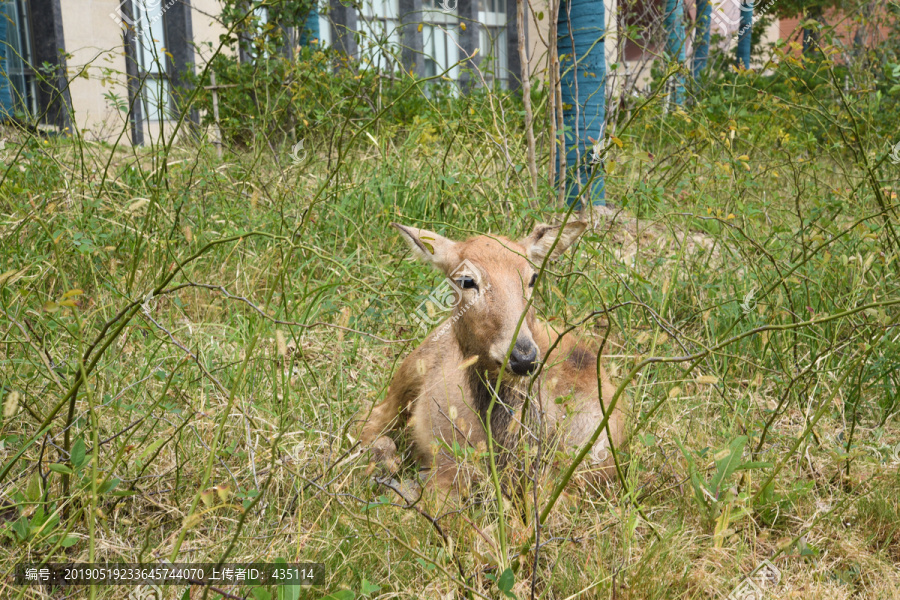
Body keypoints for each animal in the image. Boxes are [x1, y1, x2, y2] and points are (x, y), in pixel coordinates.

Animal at [358, 223, 624, 494]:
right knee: (369, 420)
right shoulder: (448, 469)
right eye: (467, 280)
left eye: (532, 277)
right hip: (407, 376)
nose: (523, 357)